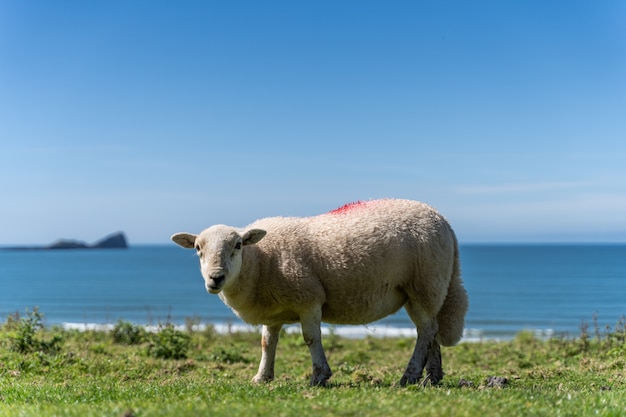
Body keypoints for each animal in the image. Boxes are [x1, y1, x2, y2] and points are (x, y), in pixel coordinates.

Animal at [173, 200, 466, 386]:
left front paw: (319, 376)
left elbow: (311, 338)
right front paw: (262, 377)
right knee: (431, 330)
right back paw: (432, 377)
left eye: (237, 245)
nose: (216, 278)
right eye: (198, 249)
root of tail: (445, 221)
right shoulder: (273, 310)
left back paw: (410, 376)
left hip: (425, 283)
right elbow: (267, 343)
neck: (261, 260)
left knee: (426, 332)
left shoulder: (309, 298)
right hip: (422, 291)